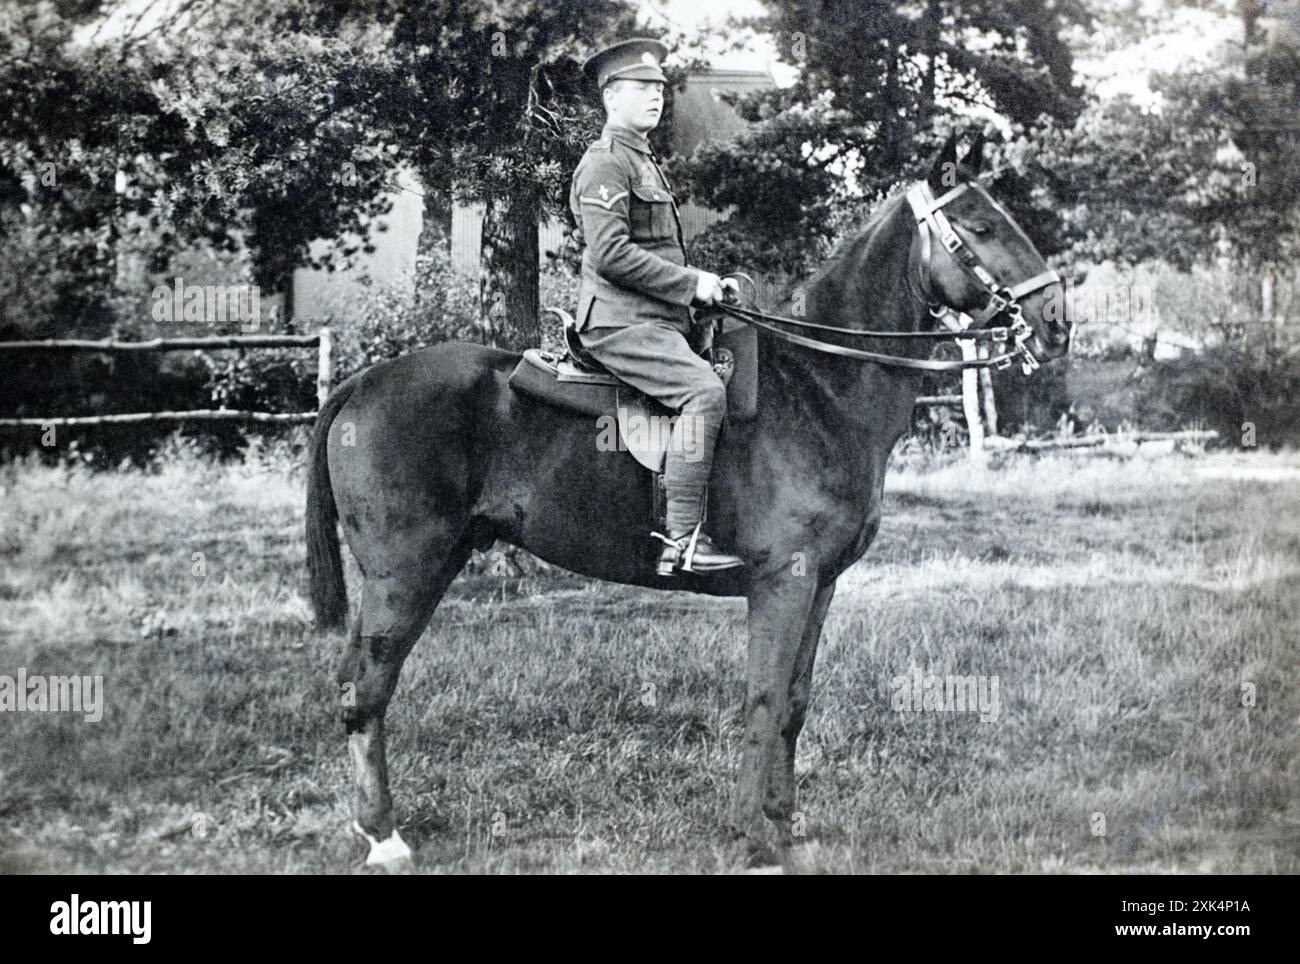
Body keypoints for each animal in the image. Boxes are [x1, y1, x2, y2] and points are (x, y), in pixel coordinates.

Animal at [306, 133, 1076, 867]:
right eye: (980, 224)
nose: (1057, 321)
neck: (820, 387)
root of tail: (363, 382)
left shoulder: (819, 584)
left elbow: (794, 704)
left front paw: (784, 828)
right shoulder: (783, 581)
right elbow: (763, 700)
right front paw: (752, 839)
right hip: (405, 573)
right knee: (363, 688)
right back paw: (383, 836)